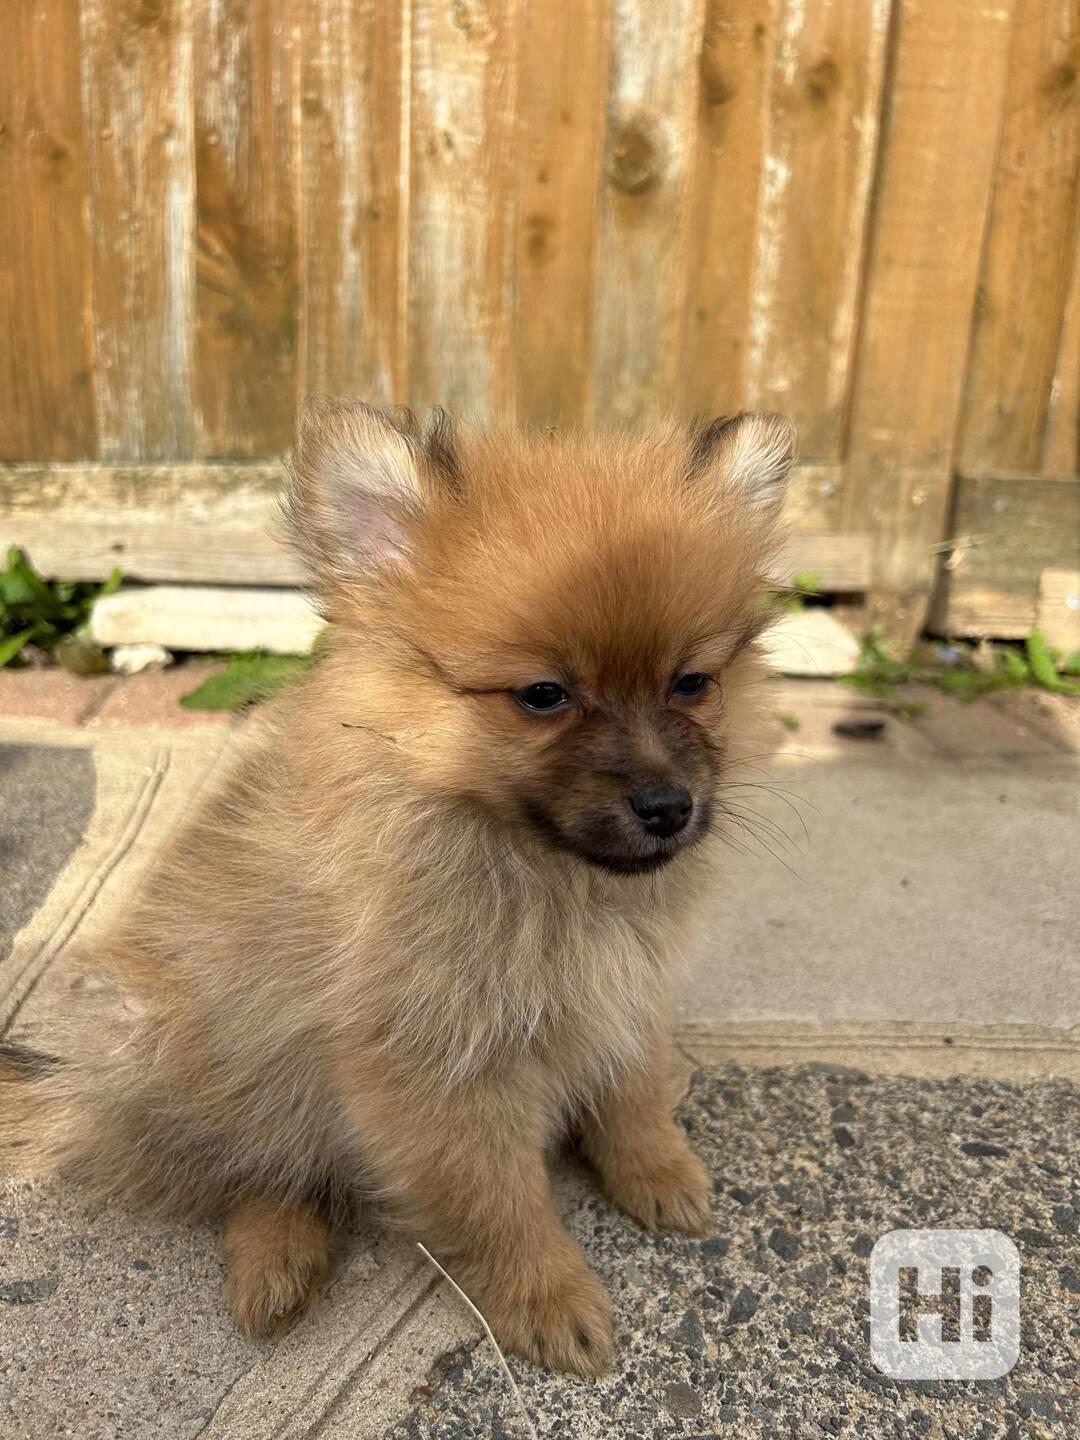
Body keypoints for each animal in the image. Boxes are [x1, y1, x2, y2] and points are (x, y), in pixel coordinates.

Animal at [0, 403, 794, 1370]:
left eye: (692, 683)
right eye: (544, 695)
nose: (668, 806)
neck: (545, 872)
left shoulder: (628, 996)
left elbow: (631, 1096)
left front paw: (660, 1173)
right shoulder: (436, 1070)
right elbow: (499, 1201)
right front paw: (548, 1298)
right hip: (216, 1054)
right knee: (247, 1170)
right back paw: (277, 1256)